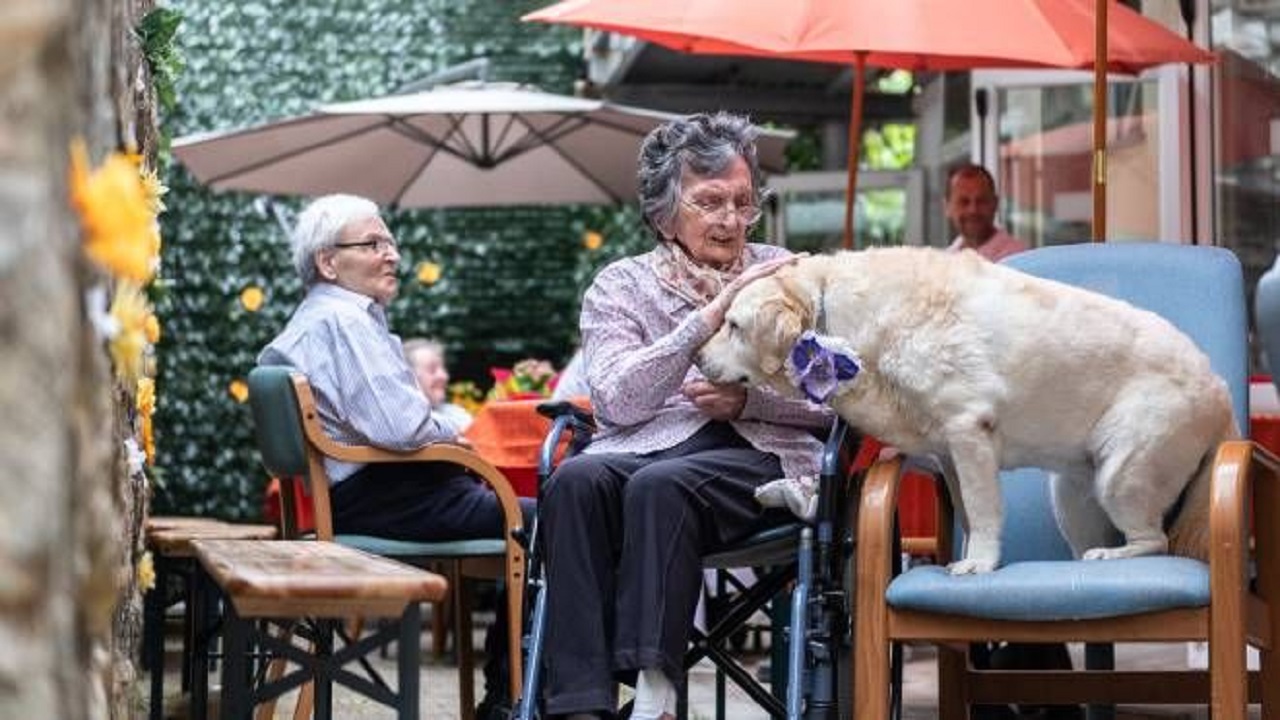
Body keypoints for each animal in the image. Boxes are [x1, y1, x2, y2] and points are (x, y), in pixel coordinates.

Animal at [701, 245, 1239, 571]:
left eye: (732, 325)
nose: (698, 358)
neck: (841, 313)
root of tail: (1219, 386)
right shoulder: (947, 453)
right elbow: (966, 511)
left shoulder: (968, 428)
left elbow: (981, 510)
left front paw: (978, 565)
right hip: (1071, 493)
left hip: (1122, 472)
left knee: (1155, 541)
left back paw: (1114, 557)